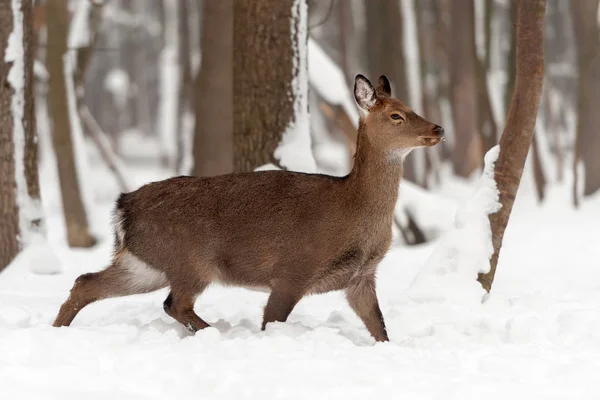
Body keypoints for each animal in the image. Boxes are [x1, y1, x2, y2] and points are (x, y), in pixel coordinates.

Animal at [54, 74, 442, 340]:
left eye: (411, 108)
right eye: (396, 116)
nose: (438, 128)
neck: (353, 210)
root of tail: (123, 208)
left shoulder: (361, 278)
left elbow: (380, 328)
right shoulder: (292, 270)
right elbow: (272, 321)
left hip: (146, 263)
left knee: (85, 282)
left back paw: (57, 330)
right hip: (190, 260)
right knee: (173, 303)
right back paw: (214, 332)